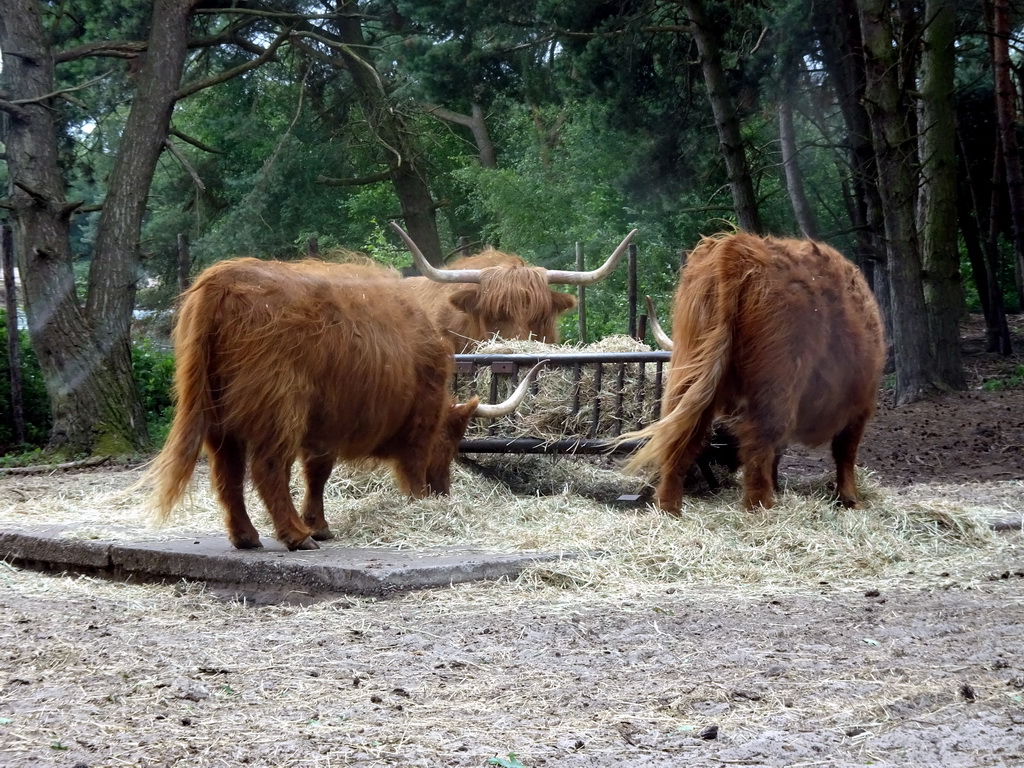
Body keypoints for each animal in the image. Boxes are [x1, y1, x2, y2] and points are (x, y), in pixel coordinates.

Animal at [146, 259, 544, 552]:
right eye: (447, 443)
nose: (443, 494)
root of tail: (224, 277)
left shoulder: (324, 427)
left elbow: (316, 474)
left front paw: (319, 525)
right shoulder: (413, 422)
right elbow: (405, 466)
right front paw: (416, 502)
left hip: (218, 417)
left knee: (228, 473)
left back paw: (247, 536)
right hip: (280, 409)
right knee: (267, 468)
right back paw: (295, 536)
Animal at [622, 231, 888, 514]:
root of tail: (737, 246)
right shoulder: (861, 405)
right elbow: (845, 450)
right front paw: (849, 498)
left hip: (690, 367)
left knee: (681, 432)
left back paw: (669, 506)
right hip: (777, 381)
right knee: (760, 436)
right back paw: (760, 505)